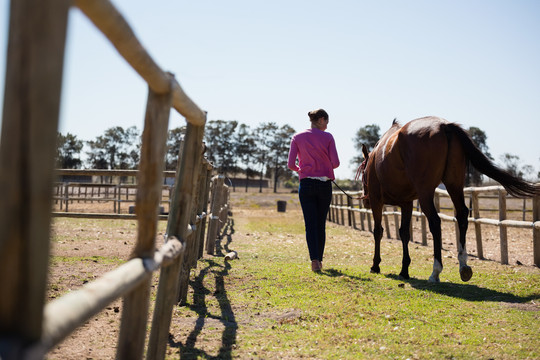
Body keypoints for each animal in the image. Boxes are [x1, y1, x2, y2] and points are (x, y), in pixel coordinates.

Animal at [358, 116, 540, 282]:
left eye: (362, 173)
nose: (365, 201)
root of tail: (444, 126)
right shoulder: (407, 203)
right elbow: (403, 233)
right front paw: (404, 270)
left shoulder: (378, 201)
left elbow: (378, 231)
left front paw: (376, 265)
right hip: (454, 185)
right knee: (462, 215)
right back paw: (463, 266)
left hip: (425, 194)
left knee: (435, 222)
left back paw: (435, 271)